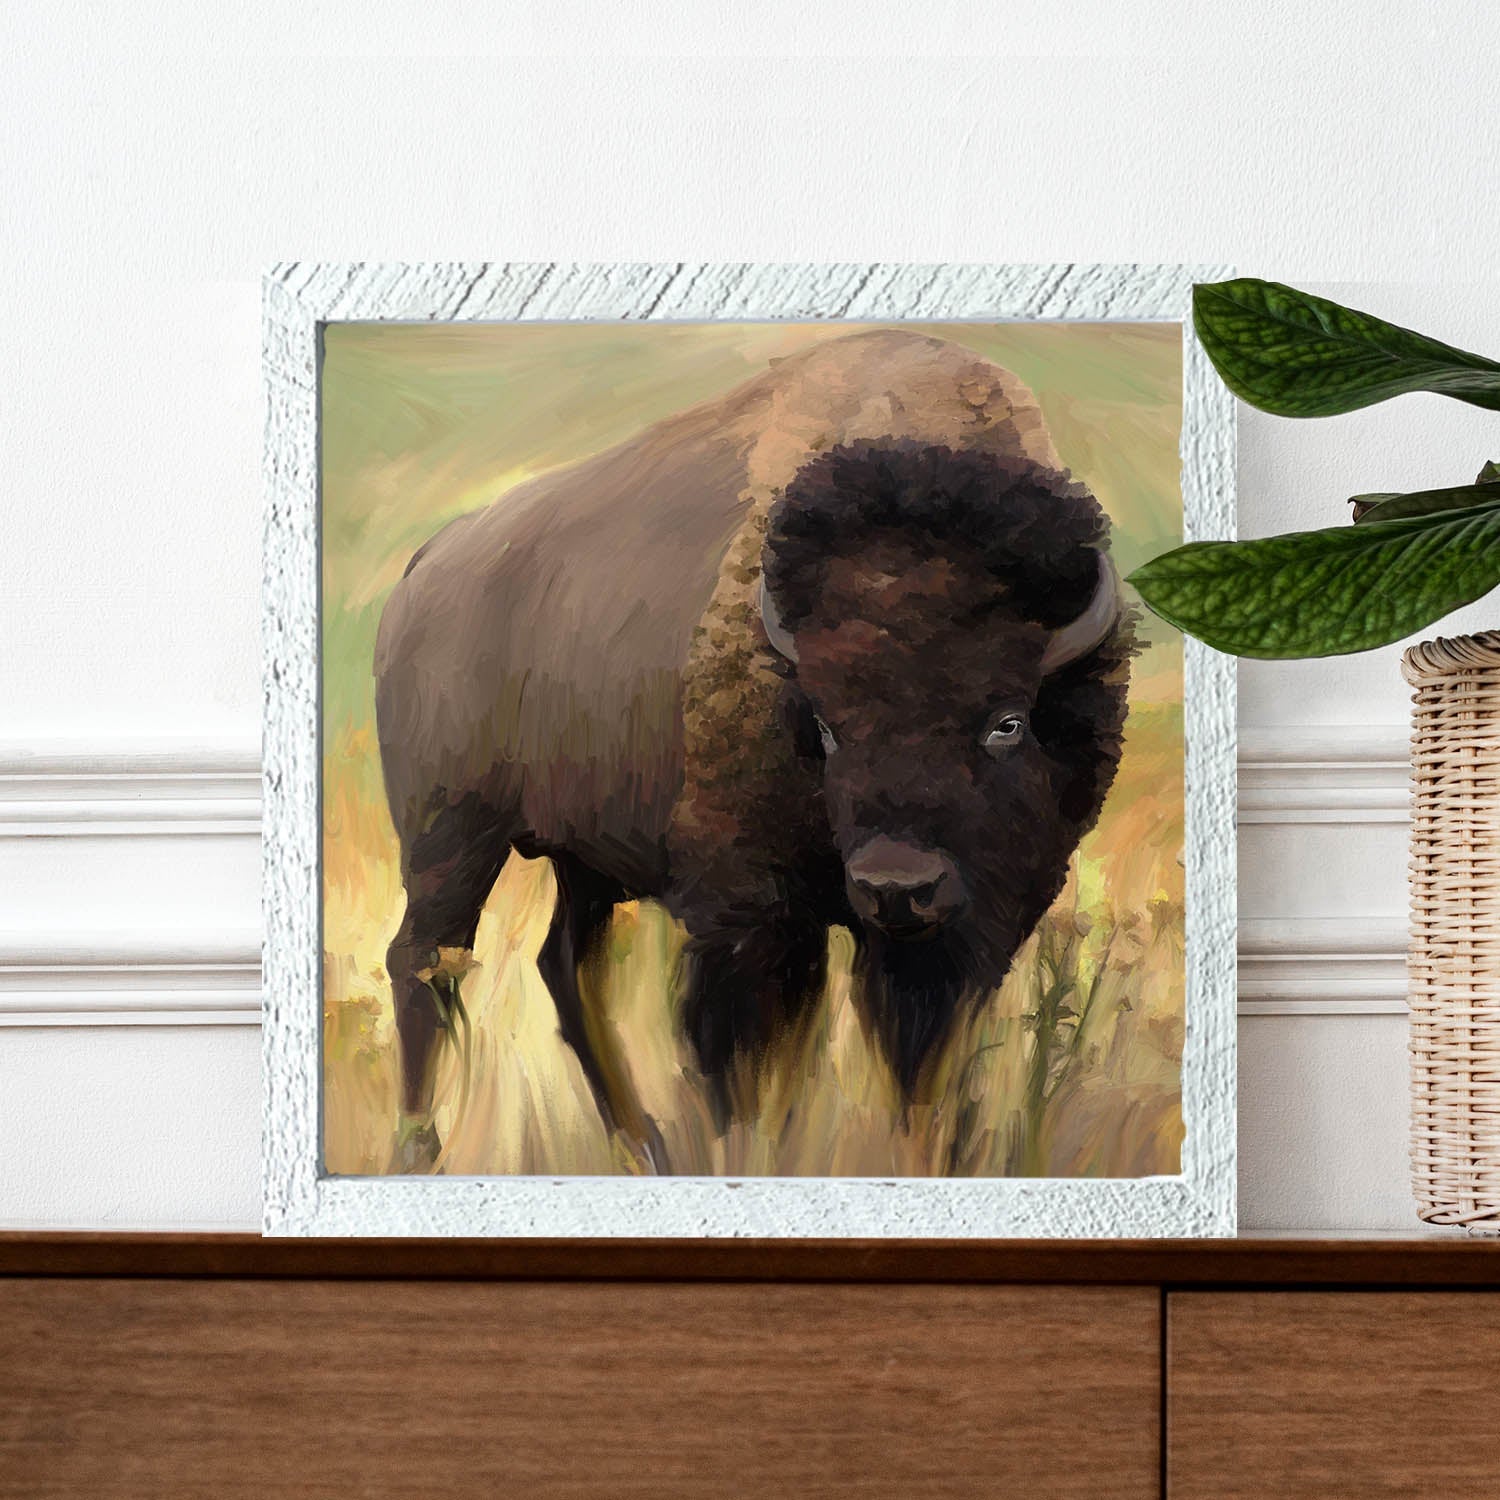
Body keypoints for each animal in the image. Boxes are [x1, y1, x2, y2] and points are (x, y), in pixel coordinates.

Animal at [374, 329, 1133, 1169]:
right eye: (827, 726)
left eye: (1007, 721)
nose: (896, 886)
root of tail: (426, 568)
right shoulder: (750, 920)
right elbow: (746, 1068)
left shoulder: (957, 936)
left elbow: (917, 1070)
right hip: (450, 836)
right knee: (424, 964)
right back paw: (421, 1149)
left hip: (584, 860)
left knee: (564, 966)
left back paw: (643, 1146)